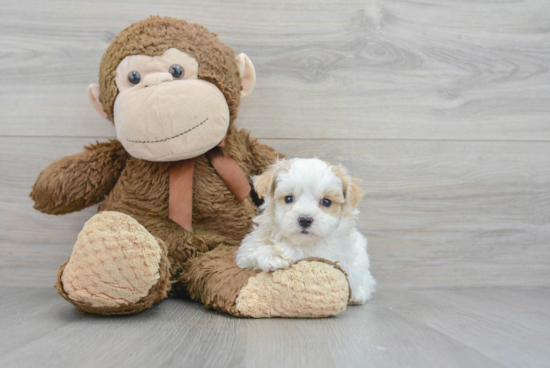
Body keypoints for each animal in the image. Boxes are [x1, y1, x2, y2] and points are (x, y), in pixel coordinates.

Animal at [235, 158, 378, 304]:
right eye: (288, 198)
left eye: (326, 202)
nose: (305, 220)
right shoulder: (249, 246)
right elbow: (252, 250)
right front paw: (271, 257)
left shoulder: (333, 252)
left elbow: (311, 251)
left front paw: (285, 250)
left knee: (367, 280)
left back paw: (358, 295)